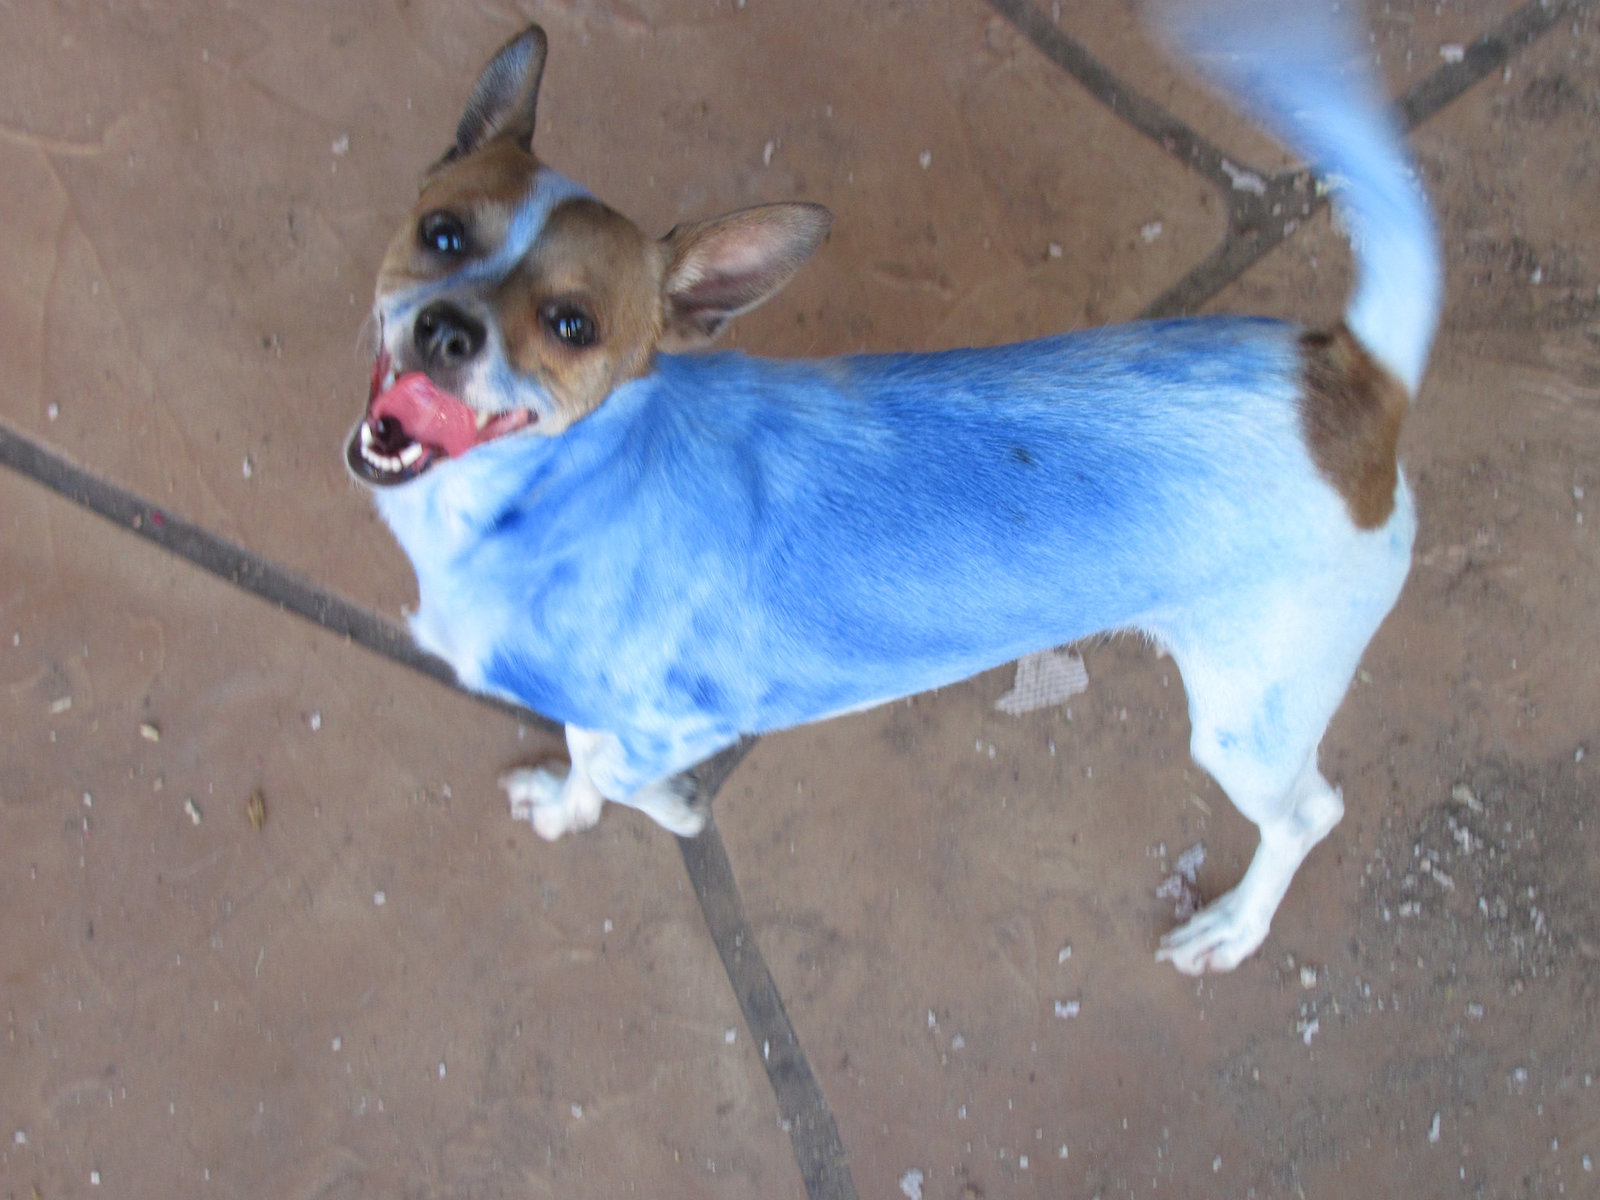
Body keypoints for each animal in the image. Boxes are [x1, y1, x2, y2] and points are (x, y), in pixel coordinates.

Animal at [347, 2, 1440, 979]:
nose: (446, 330)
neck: (541, 490)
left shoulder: (678, 721)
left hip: (1248, 724)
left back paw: (1235, 928)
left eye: (572, 325)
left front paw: (650, 806)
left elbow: (604, 761)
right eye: (441, 233)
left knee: (1309, 814)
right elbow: (584, 747)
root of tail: (1347, 378)